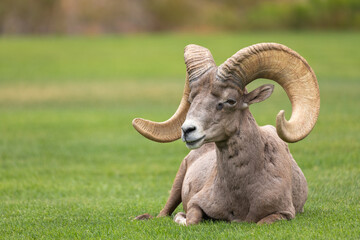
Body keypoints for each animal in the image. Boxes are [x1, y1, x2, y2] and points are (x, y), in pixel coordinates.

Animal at [134, 43, 320, 225]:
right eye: (191, 99)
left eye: (230, 101)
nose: (187, 130)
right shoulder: (196, 203)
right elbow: (191, 220)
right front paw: (181, 217)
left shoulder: (284, 213)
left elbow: (262, 222)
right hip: (177, 182)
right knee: (163, 214)